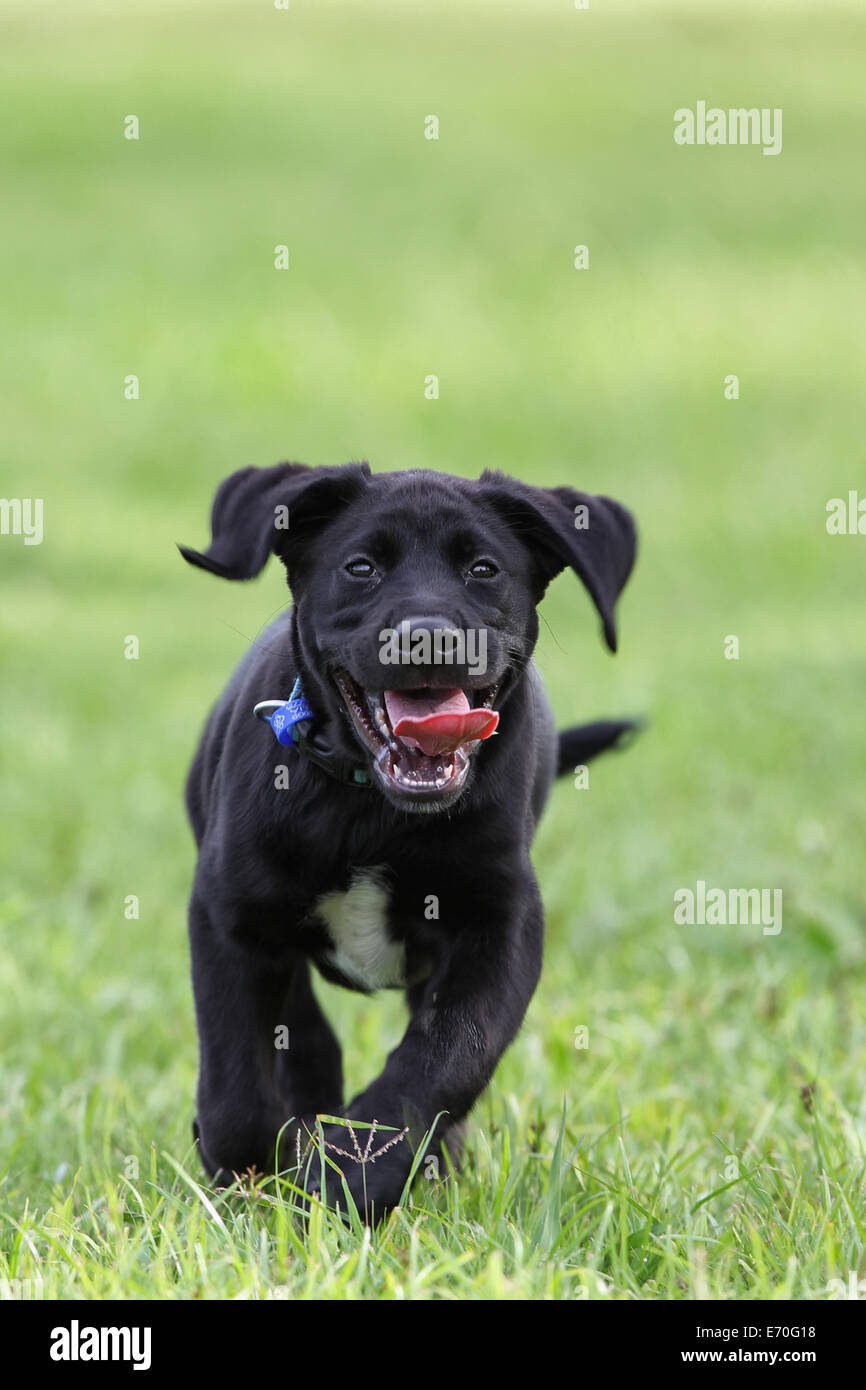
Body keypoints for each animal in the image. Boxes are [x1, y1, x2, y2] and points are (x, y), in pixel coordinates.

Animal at [179, 464, 636, 1217]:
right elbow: (236, 1075)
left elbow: (448, 1055)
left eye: (484, 569)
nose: (430, 639)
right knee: (302, 1032)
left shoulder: (501, 924)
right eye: (360, 567)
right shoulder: (229, 914)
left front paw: (355, 1170)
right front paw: (249, 1171)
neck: (375, 810)